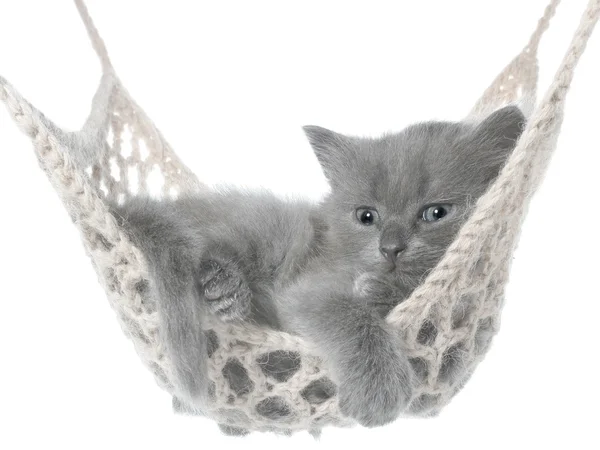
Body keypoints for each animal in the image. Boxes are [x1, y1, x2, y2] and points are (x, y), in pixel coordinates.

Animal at [109, 103, 524, 428]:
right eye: (366, 216)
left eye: (435, 213)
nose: (391, 248)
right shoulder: (307, 288)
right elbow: (348, 316)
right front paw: (378, 391)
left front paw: (382, 293)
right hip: (276, 226)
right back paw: (225, 290)